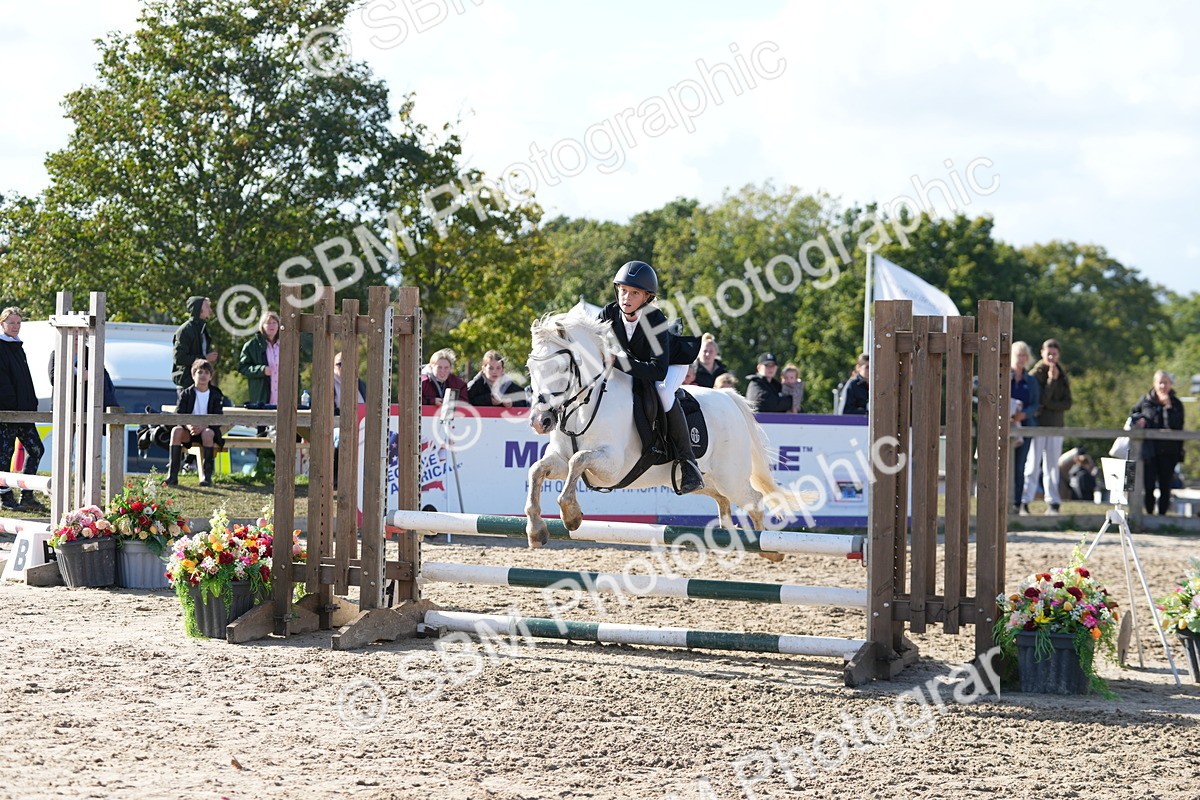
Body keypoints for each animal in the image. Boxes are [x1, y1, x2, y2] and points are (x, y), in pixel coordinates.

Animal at [523, 310, 807, 550]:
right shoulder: (560, 459)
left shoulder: (612, 466)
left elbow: (578, 460)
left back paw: (769, 551)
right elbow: (538, 469)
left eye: (561, 369)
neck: (584, 406)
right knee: (721, 499)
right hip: (704, 479)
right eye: (530, 368)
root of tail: (729, 398)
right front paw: (536, 530)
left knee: (754, 500)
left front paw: (571, 515)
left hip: (731, 477)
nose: (540, 421)